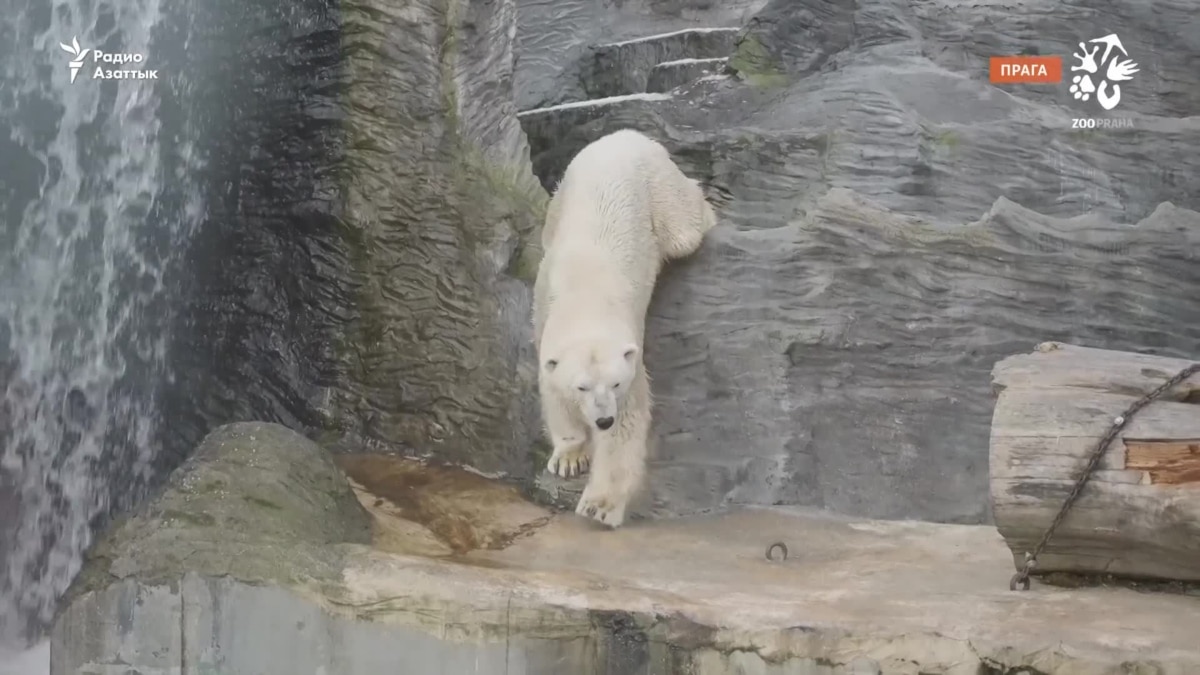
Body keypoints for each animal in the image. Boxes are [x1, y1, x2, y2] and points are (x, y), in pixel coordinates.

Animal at [532, 128, 715, 528]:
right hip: (561, 196)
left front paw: (599, 505)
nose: (602, 420)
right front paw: (569, 457)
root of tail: (627, 135)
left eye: (614, 383)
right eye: (581, 386)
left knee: (687, 226)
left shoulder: (632, 365)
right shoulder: (543, 324)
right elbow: (551, 391)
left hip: (660, 192)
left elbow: (627, 424)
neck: (585, 295)